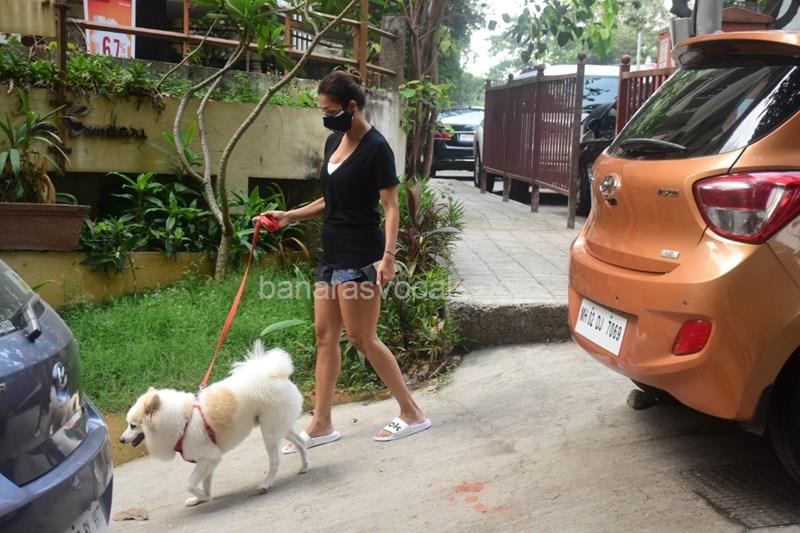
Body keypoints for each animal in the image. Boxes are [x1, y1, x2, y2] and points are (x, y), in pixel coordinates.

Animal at [119, 340, 309, 507]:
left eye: (133, 425)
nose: (120, 440)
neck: (183, 421)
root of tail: (274, 374)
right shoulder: (210, 460)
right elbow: (205, 483)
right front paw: (202, 498)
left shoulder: (208, 458)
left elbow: (189, 484)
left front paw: (202, 496)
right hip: (279, 427)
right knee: (301, 442)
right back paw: (304, 467)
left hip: (269, 432)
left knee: (275, 460)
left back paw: (266, 484)